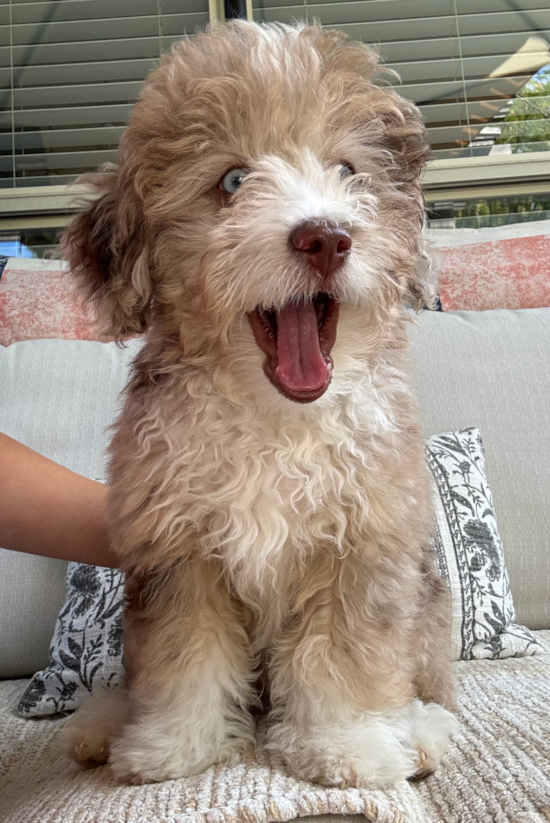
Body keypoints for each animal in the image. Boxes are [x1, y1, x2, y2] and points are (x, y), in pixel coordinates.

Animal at [60, 22, 460, 788]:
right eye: (234, 181)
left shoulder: (362, 543)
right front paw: (173, 746)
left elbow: (345, 655)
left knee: (426, 684)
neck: (277, 422)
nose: (326, 236)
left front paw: (349, 745)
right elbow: (185, 654)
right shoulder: (178, 548)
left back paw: (424, 731)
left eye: (348, 170)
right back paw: (100, 723)